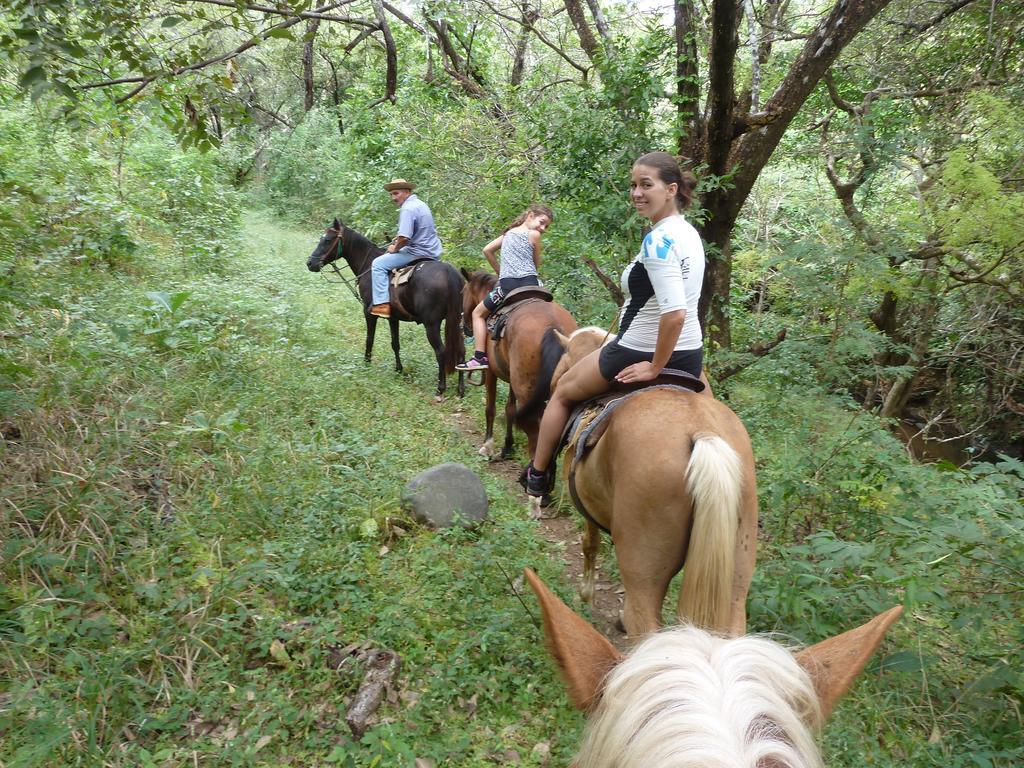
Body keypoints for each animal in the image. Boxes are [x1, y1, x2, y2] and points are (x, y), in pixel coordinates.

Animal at [305, 217, 462, 397]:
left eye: (327, 240)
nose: (310, 263)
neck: (368, 265)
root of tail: (449, 271)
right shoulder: (393, 317)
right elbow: (395, 343)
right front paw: (399, 370)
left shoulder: (368, 312)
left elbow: (369, 339)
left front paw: (366, 365)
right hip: (457, 321)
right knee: (461, 351)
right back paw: (461, 389)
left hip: (431, 324)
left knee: (441, 351)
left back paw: (440, 388)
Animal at [462, 270, 577, 499]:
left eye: (462, 292)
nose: (465, 327)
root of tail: (553, 328)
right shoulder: (512, 379)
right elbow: (509, 409)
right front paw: (508, 448)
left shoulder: (491, 372)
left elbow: (491, 408)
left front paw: (488, 447)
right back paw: (543, 484)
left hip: (527, 389)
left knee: (535, 432)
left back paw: (533, 484)